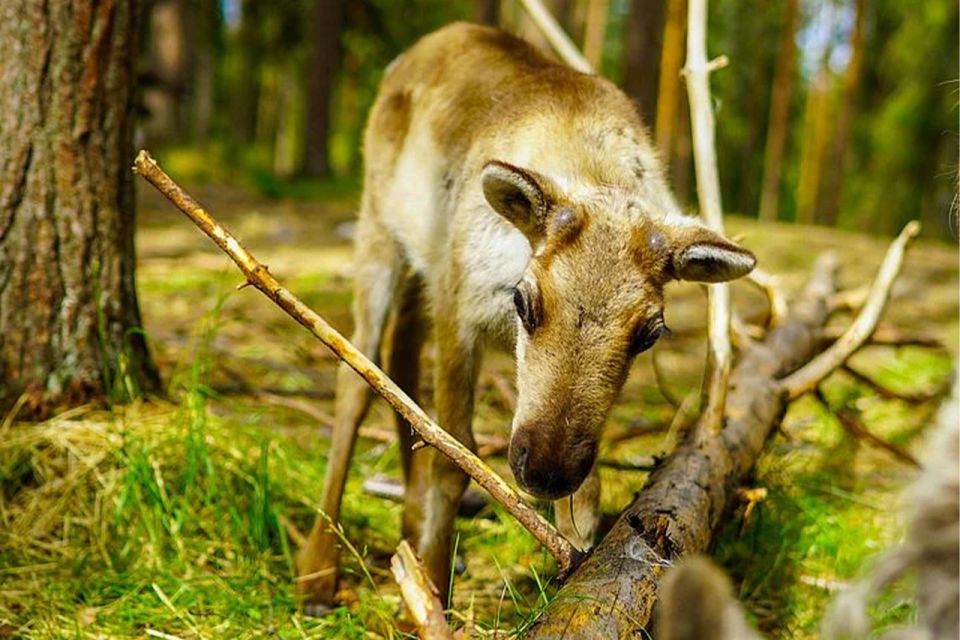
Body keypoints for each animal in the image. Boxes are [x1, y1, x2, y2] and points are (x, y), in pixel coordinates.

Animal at [295, 22, 756, 614]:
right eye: (524, 302)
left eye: (649, 335)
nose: (543, 470)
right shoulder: (459, 311)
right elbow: (453, 455)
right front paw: (431, 596)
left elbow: (587, 496)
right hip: (379, 230)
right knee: (355, 375)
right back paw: (318, 573)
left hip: (423, 266)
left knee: (399, 359)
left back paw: (409, 525)